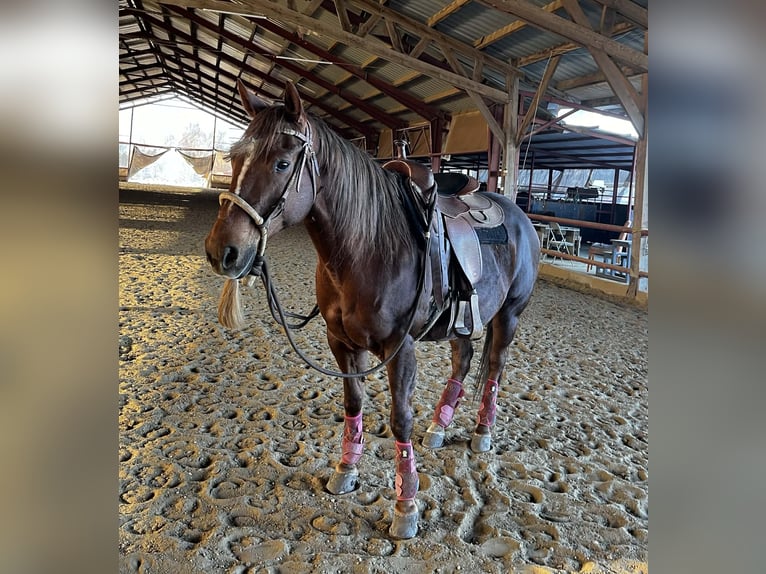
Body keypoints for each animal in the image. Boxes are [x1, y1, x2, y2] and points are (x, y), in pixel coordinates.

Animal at [204, 80, 539, 539]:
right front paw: (346, 470)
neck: (368, 247)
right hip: (463, 321)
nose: (222, 251)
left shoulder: (401, 349)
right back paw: (439, 427)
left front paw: (406, 505)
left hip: (509, 316)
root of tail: (517, 211)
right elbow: (353, 405)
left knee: (494, 368)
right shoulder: (342, 343)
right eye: (235, 158)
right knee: (464, 361)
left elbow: (400, 419)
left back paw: (482, 432)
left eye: (282, 163)